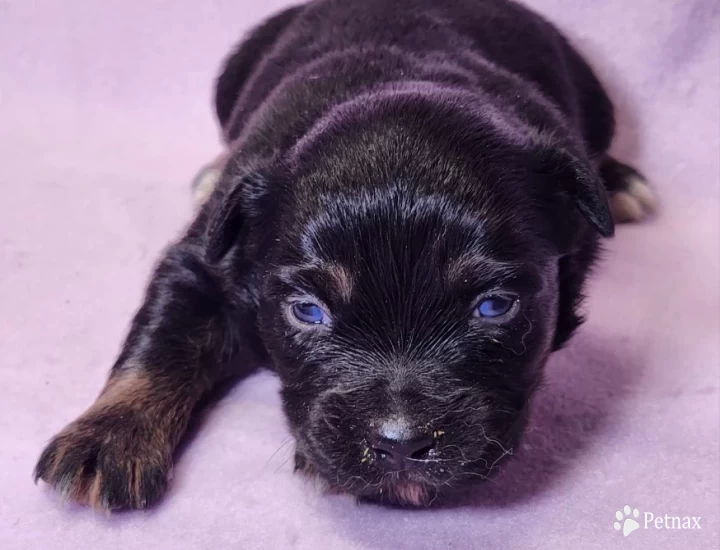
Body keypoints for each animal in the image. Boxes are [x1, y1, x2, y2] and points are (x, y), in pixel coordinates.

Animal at [33, 0, 652, 512]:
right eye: (308, 312)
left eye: (494, 307)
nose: (401, 444)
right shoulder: (205, 259)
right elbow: (165, 336)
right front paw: (107, 436)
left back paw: (619, 183)